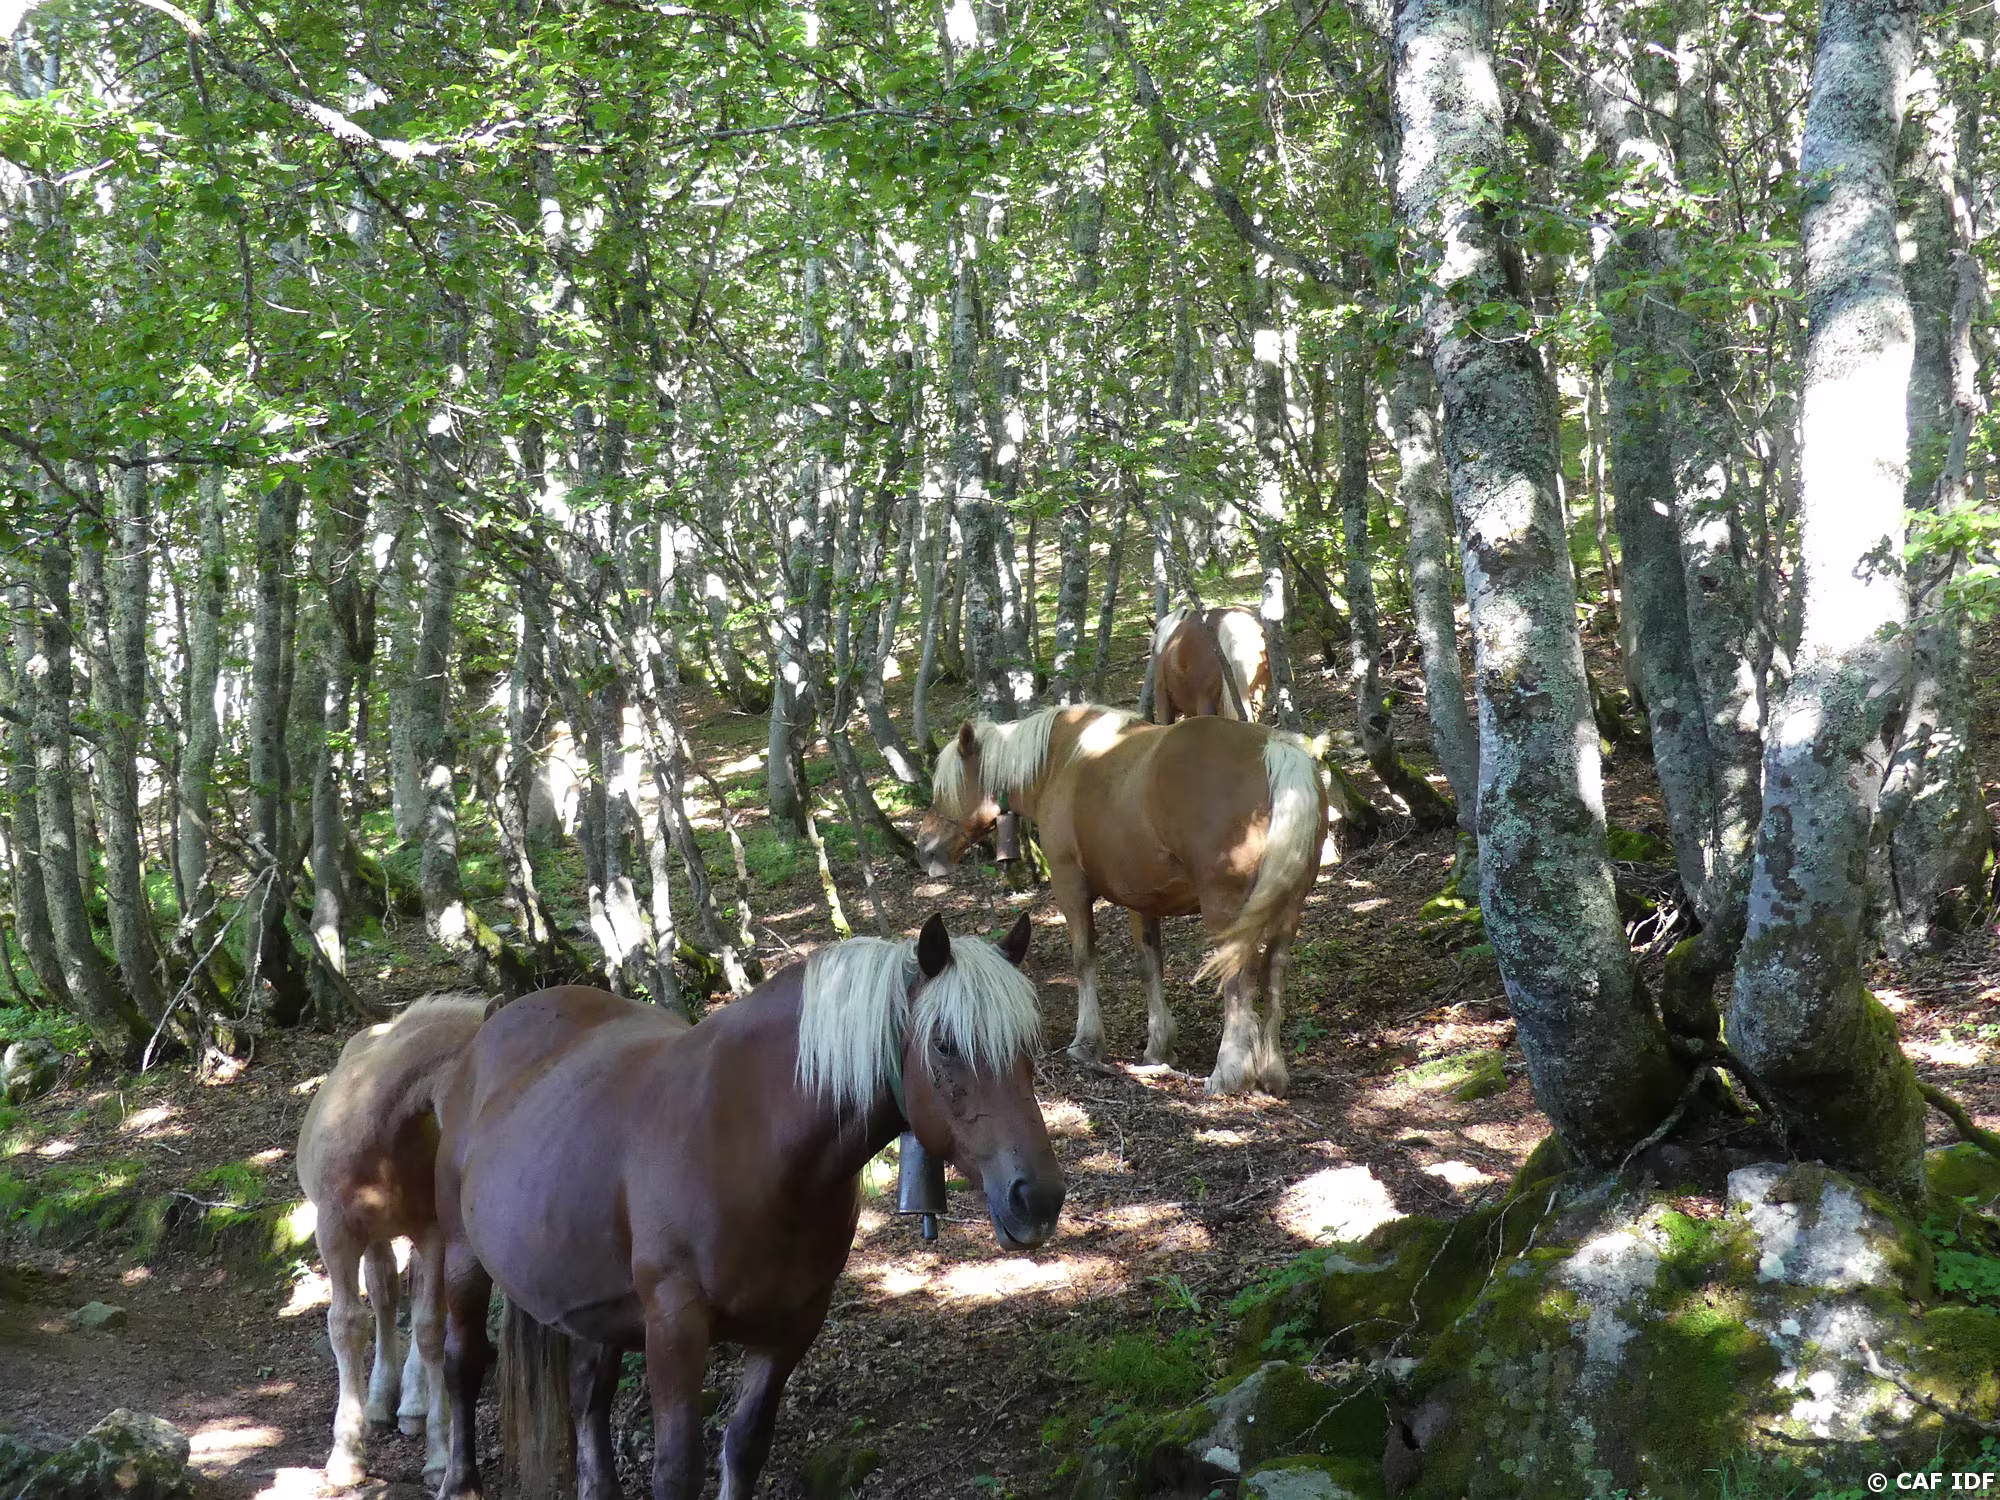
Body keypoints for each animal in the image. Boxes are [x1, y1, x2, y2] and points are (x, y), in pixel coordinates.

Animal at [296, 994, 486, 1487]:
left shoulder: (434, 1232)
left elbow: (431, 1327)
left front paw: (439, 1455)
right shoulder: (336, 1234)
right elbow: (348, 1324)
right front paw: (346, 1454)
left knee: (415, 1293)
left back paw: (413, 1406)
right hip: (374, 1237)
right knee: (382, 1292)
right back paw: (381, 1402)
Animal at [431, 911, 1062, 1500]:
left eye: (1028, 1047)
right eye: (945, 1044)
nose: (1039, 1197)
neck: (753, 1141)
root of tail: (494, 1021)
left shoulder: (792, 1324)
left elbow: (744, 1444)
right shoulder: (674, 1326)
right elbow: (677, 1471)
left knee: (588, 1393)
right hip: (462, 1257)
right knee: (462, 1362)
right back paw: (458, 1478)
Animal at [916, 705, 1326, 1095]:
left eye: (943, 788)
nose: (925, 848)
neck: (1060, 762)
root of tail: (1276, 749)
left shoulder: (1070, 885)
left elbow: (1084, 958)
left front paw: (1086, 1042)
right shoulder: (1142, 901)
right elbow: (1150, 965)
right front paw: (1159, 1046)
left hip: (1226, 910)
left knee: (1238, 978)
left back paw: (1227, 1073)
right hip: (1287, 908)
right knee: (1275, 972)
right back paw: (1272, 1073)